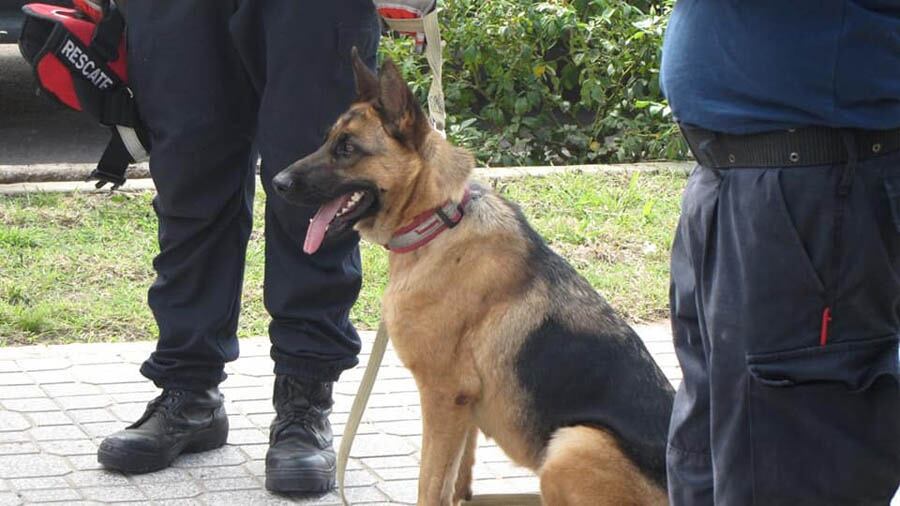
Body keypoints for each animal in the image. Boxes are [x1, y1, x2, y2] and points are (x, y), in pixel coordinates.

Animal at [274, 52, 676, 506]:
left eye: (347, 148)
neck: (437, 221)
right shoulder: (463, 407)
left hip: (571, 445)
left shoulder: (443, 396)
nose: (277, 183)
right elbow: (456, 482)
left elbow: (431, 483)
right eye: (329, 141)